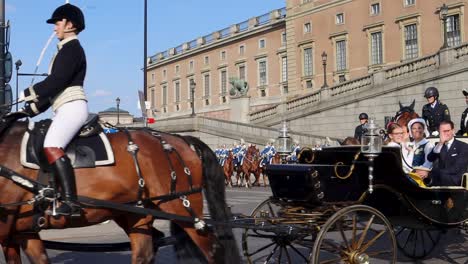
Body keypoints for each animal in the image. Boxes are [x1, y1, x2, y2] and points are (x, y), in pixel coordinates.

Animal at [0, 114, 238, 264]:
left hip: (181, 206)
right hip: (135, 212)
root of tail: (182, 139)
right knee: (144, 254)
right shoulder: (22, 231)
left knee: (214, 250)